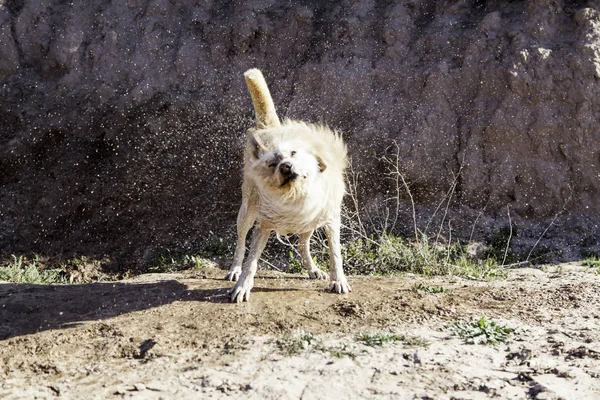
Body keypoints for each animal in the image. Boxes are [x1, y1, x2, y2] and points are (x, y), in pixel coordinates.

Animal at [226, 69, 352, 302]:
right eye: (272, 163)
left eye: (293, 153)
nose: (286, 166)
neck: (296, 196)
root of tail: (271, 129)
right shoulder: (263, 226)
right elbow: (251, 261)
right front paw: (242, 285)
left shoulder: (330, 219)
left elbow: (335, 254)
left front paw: (338, 280)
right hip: (246, 212)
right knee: (240, 243)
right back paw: (234, 270)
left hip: (309, 224)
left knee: (302, 245)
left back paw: (313, 270)